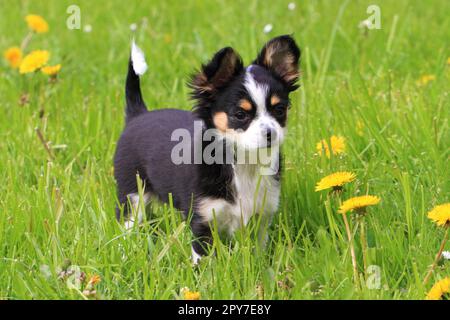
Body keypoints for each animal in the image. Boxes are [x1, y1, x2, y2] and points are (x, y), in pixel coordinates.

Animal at [114, 35, 300, 262]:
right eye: (240, 114)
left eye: (279, 110)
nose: (270, 133)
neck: (245, 162)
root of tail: (138, 115)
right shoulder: (203, 220)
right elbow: (204, 260)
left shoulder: (262, 217)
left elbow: (259, 252)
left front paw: (261, 266)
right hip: (132, 195)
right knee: (126, 226)